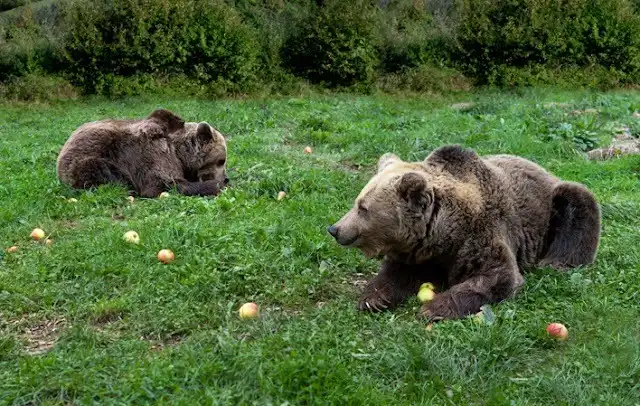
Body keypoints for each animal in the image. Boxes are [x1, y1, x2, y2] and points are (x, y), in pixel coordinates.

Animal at [57, 108, 229, 198]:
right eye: (221, 160)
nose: (226, 177)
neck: (178, 152)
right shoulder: (154, 154)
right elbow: (162, 183)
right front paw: (218, 185)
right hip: (88, 158)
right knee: (104, 172)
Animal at [327, 145, 601, 321]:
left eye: (363, 208)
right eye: (358, 202)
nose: (335, 229)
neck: (443, 235)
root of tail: (545, 169)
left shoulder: (481, 235)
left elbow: (496, 277)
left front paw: (434, 308)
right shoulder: (414, 252)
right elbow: (394, 275)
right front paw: (372, 298)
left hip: (552, 204)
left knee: (578, 203)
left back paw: (556, 262)